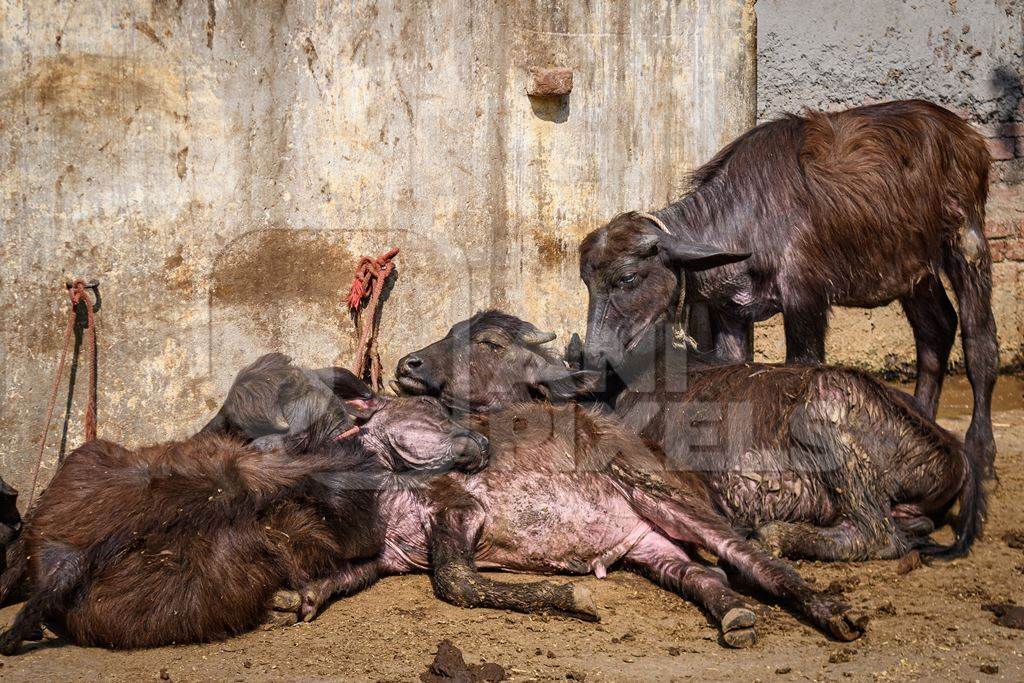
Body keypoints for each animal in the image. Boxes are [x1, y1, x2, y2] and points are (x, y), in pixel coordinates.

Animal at [397, 313, 983, 565]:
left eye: (492, 343)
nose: (408, 363)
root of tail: (949, 446)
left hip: (827, 413)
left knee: (877, 534)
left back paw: (781, 535)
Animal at [581, 101, 995, 473]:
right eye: (587, 282)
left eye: (627, 278)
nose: (593, 355)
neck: (745, 221)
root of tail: (968, 138)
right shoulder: (730, 313)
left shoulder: (805, 303)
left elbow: (801, 376)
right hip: (915, 271)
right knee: (936, 329)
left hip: (966, 242)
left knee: (980, 342)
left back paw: (980, 452)